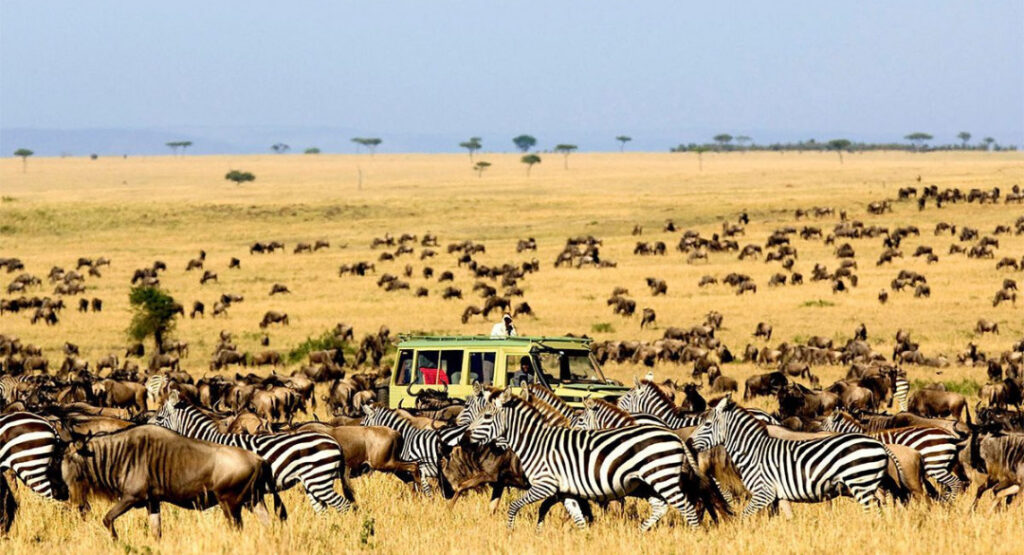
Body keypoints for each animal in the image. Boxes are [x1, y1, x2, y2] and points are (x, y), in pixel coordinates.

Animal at [152, 391, 354, 515]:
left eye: (160, 418)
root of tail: (334, 442)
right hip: (312, 482)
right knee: (323, 510)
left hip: (319, 479)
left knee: (344, 506)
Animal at [467, 389, 705, 531]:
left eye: (486, 416)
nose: (466, 436)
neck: (536, 443)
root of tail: (673, 435)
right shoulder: (565, 490)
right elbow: (578, 518)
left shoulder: (545, 485)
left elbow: (514, 506)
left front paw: (510, 531)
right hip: (646, 482)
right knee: (661, 507)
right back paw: (640, 532)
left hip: (661, 476)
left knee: (687, 508)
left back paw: (694, 535)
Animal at [691, 398, 896, 517]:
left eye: (707, 424)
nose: (690, 442)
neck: (753, 451)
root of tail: (879, 444)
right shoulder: (778, 494)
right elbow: (786, 518)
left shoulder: (763, 492)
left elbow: (745, 516)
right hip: (869, 484)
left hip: (860, 483)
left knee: (873, 510)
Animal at [822, 411, 966, 499]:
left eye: (823, 424)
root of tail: (952, 437)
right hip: (946, 466)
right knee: (950, 487)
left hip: (935, 465)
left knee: (956, 484)